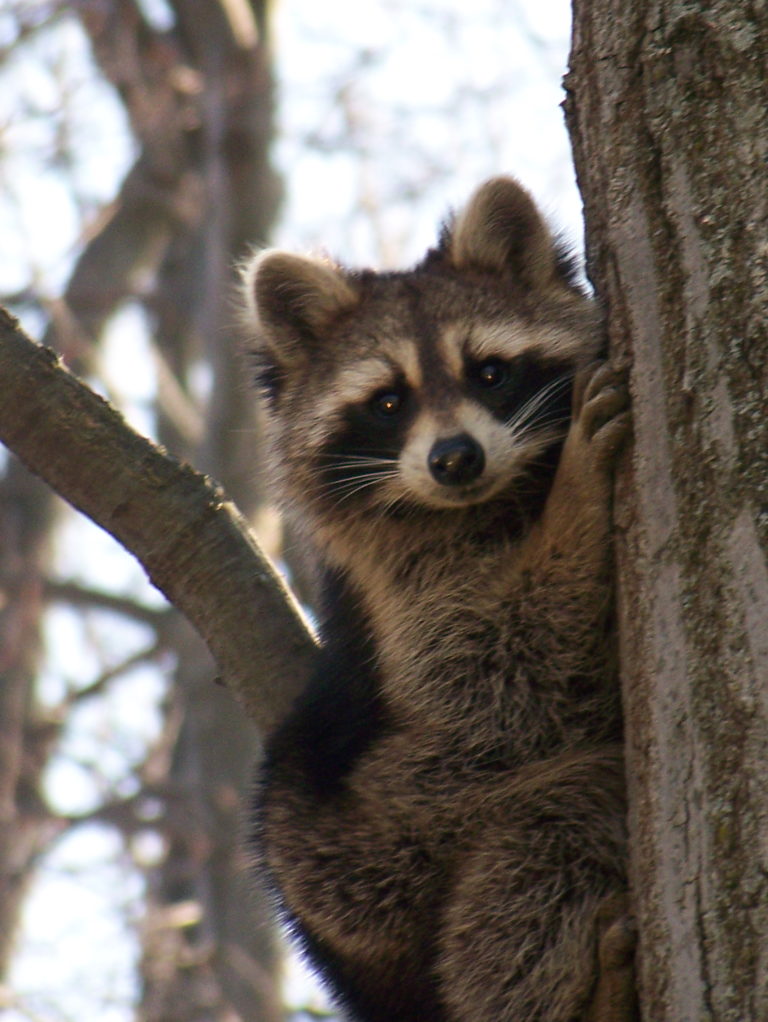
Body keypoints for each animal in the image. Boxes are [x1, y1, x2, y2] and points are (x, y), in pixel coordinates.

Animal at [243, 179, 634, 1017]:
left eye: (489, 371)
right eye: (389, 402)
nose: (456, 459)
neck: (494, 499)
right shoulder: (404, 593)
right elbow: (506, 681)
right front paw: (578, 498)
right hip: (381, 843)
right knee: (557, 822)